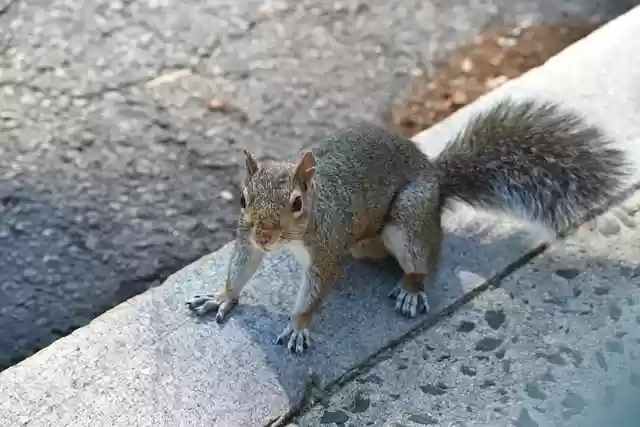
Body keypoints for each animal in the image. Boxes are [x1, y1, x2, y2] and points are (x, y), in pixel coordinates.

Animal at [186, 97, 629, 354]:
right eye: (243, 199)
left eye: (296, 203)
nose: (265, 235)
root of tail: (436, 179)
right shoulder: (247, 238)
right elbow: (242, 265)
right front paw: (222, 297)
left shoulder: (327, 248)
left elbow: (313, 293)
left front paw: (298, 326)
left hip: (408, 221)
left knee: (425, 260)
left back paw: (411, 290)